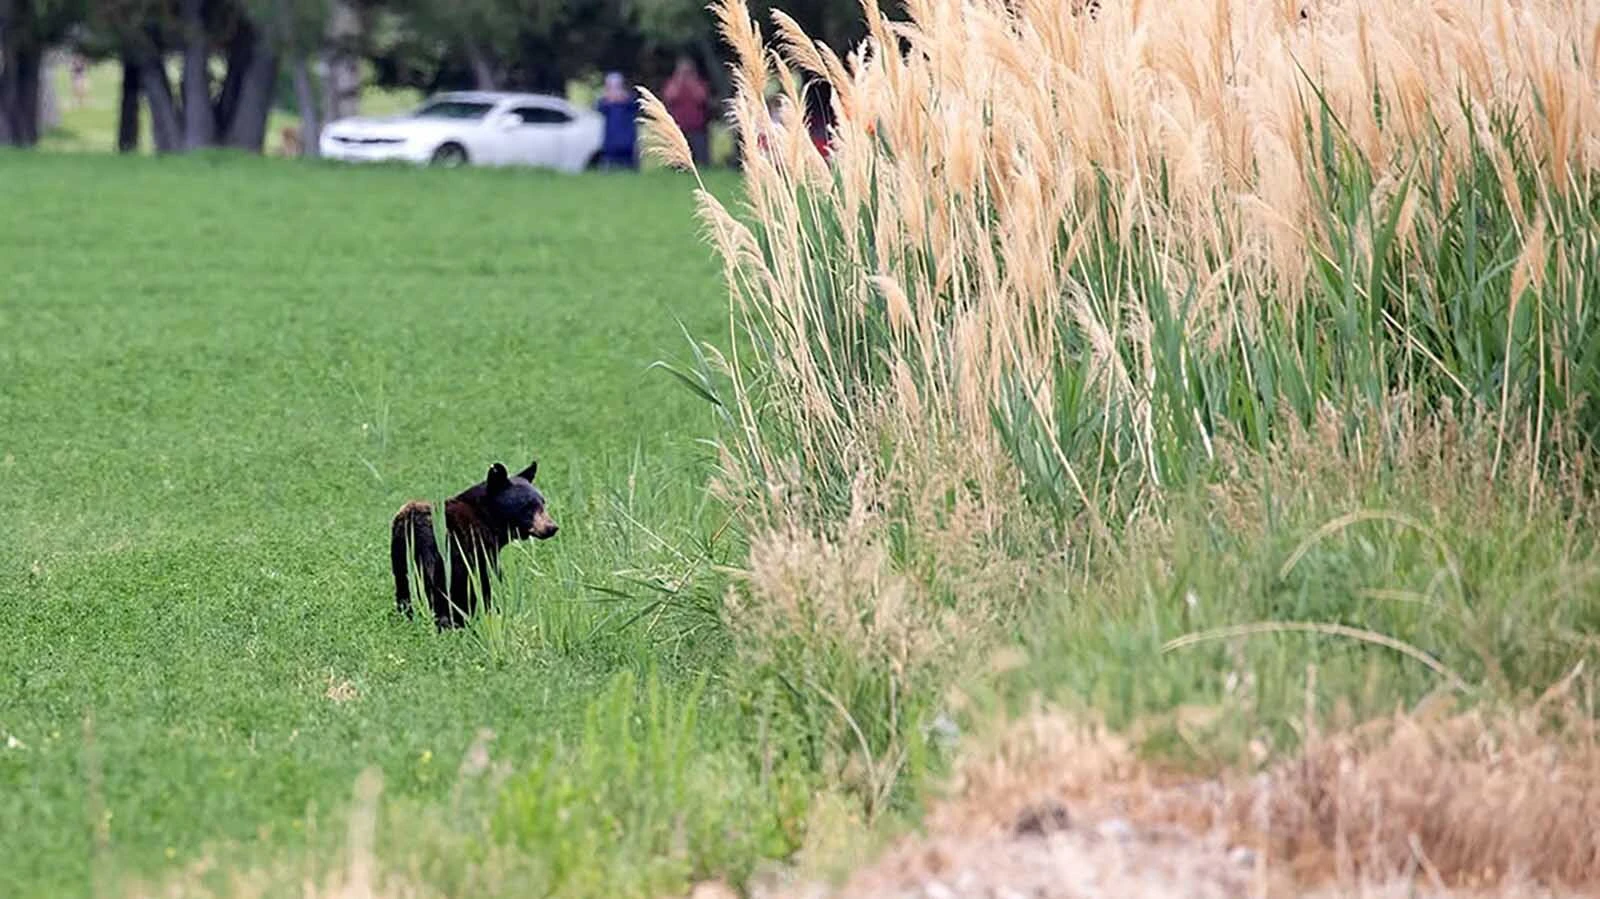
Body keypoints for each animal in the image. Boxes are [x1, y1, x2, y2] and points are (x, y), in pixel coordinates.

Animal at [389, 459, 558, 629]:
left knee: (404, 588)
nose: (551, 527)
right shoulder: (480, 551)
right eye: (527, 506)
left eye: (543, 503)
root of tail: (413, 525)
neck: (487, 518)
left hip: (401, 557)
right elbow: (485, 583)